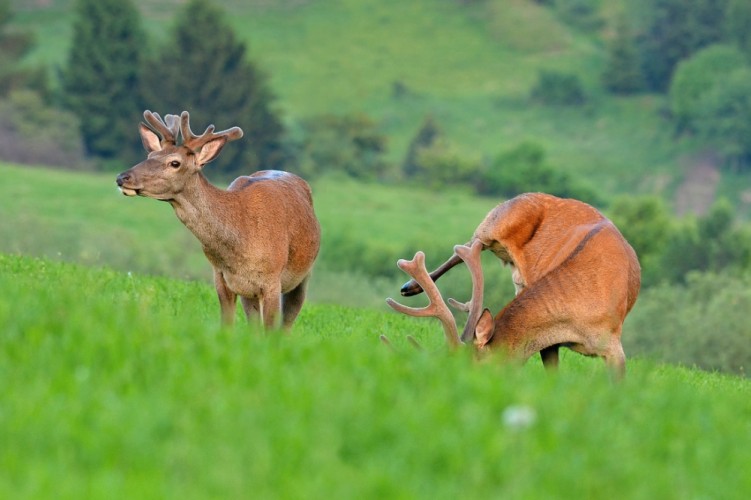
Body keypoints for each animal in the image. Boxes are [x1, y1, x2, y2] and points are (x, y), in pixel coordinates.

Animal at [116, 110, 322, 328]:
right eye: (150, 156)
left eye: (174, 163)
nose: (122, 177)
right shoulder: (221, 276)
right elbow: (227, 324)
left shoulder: (272, 279)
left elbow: (271, 329)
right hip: (249, 294)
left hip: (304, 275)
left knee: (287, 323)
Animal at [388, 192, 640, 378]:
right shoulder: (550, 342)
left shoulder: (613, 344)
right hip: (496, 219)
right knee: (467, 245)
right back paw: (410, 286)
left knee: (467, 248)